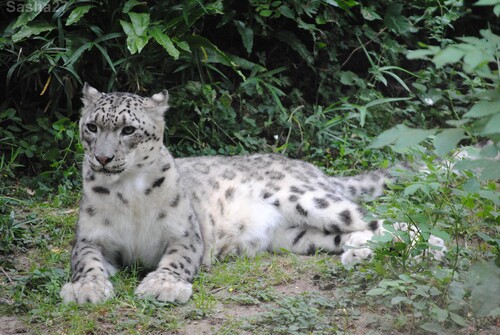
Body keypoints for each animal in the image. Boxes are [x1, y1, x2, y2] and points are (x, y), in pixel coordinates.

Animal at [58, 85, 432, 306]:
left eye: (128, 129)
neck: (129, 193)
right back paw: (358, 254)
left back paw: (430, 251)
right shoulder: (91, 238)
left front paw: (162, 286)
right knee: (357, 233)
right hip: (297, 237)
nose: (103, 158)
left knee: (387, 221)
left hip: (309, 199)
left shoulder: (185, 234)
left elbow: (176, 260)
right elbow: (86, 263)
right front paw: (86, 289)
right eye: (92, 126)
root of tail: (310, 167)